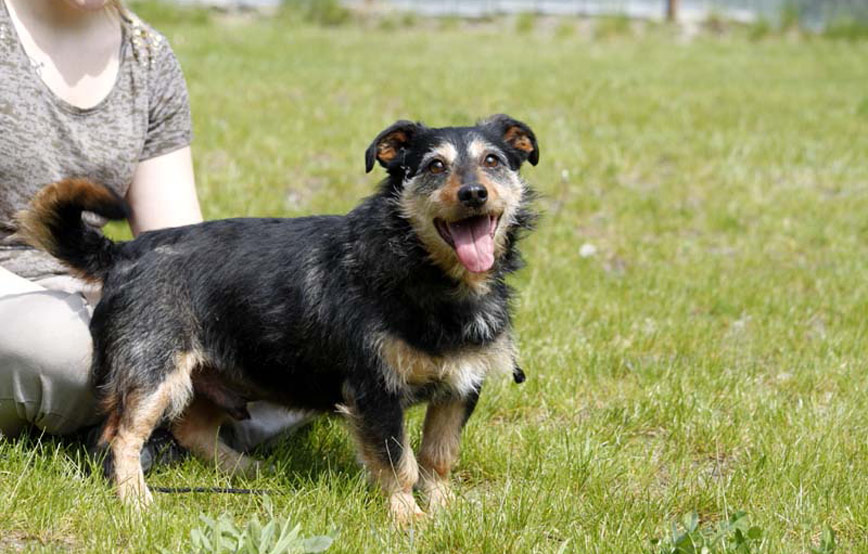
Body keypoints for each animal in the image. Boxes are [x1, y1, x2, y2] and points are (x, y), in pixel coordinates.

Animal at [15, 113, 536, 520]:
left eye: (493, 161)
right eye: (434, 166)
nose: (474, 193)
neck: (420, 268)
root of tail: (123, 253)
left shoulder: (459, 387)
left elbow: (438, 456)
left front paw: (444, 508)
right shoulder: (375, 390)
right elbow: (397, 462)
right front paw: (408, 519)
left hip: (217, 371)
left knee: (193, 429)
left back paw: (247, 472)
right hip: (151, 371)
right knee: (120, 436)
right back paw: (136, 501)